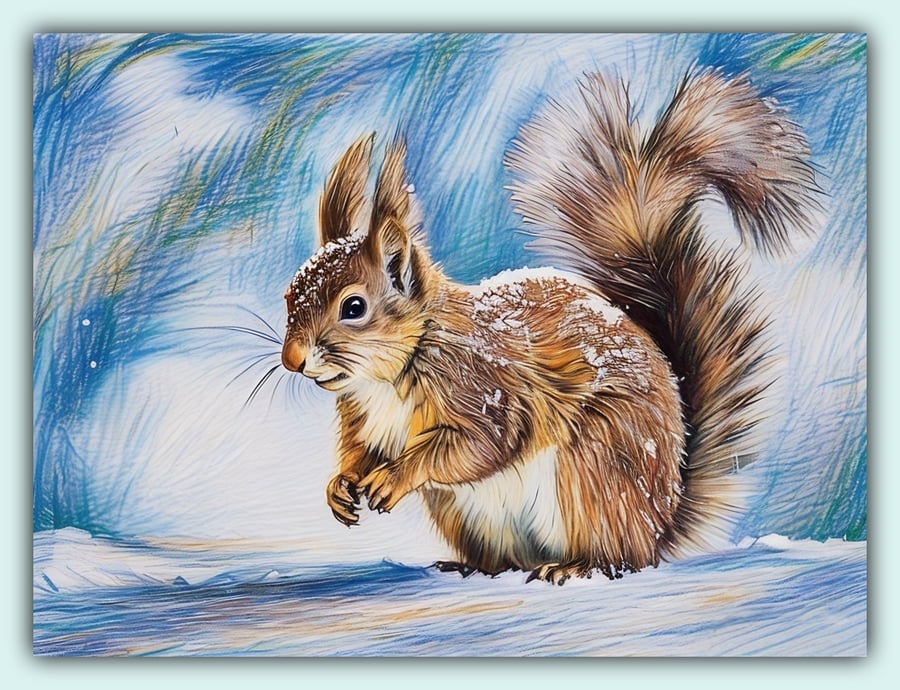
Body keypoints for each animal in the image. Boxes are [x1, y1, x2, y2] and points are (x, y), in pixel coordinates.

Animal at [280, 69, 819, 583]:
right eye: (290, 293)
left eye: (354, 307)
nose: (292, 360)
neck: (390, 375)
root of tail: (658, 525)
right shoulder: (362, 418)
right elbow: (358, 451)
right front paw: (339, 486)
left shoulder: (485, 391)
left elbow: (480, 445)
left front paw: (395, 476)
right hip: (465, 513)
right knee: (505, 559)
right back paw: (471, 566)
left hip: (593, 471)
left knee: (618, 557)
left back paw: (576, 566)